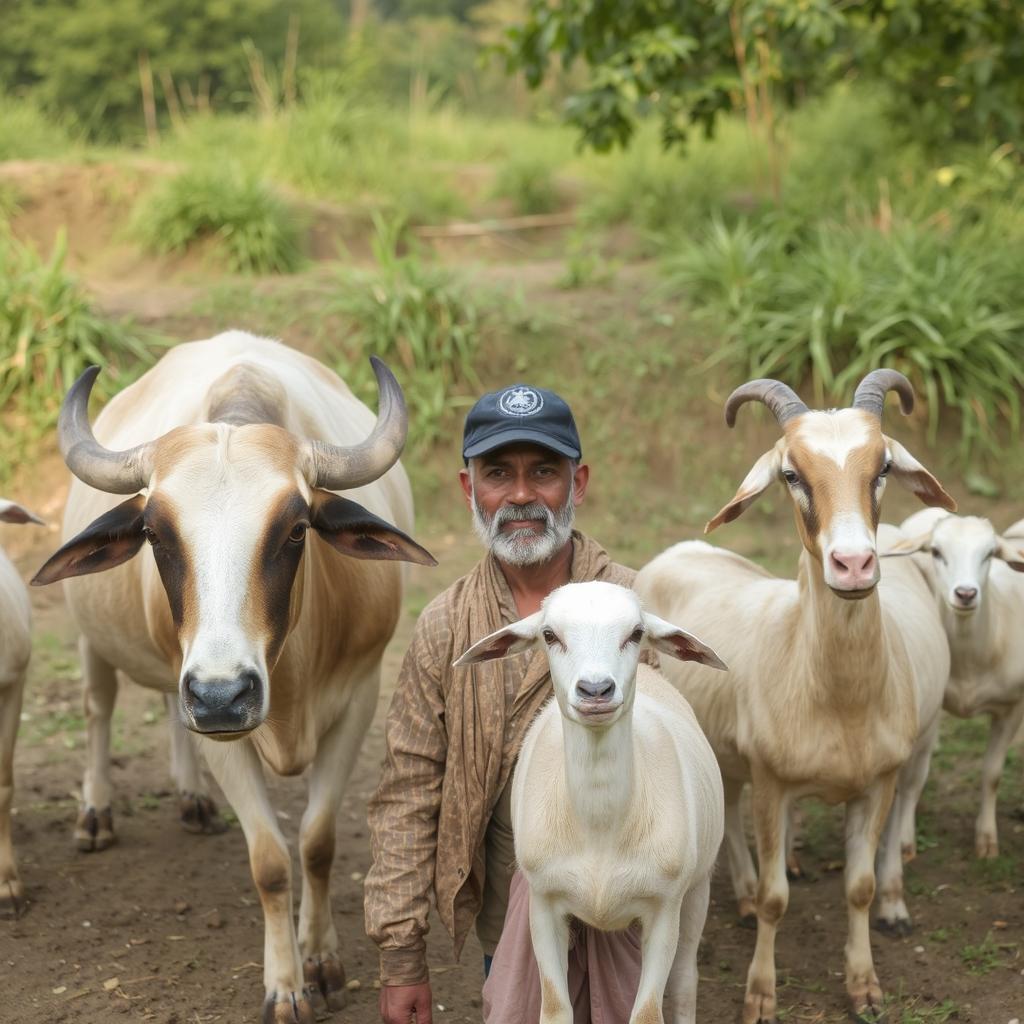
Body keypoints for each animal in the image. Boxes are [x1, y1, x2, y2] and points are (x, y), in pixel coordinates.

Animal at [456, 581, 729, 1024]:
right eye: (550, 635)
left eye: (636, 632)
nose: (596, 690)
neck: (600, 828)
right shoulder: (544, 904)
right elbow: (554, 1006)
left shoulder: (663, 908)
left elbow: (648, 1012)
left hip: (698, 889)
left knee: (685, 983)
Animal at [634, 370, 954, 1024]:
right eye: (791, 474)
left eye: (883, 466)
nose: (853, 564)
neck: (838, 702)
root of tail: (682, 550)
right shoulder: (773, 781)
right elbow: (778, 899)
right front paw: (760, 995)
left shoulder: (878, 783)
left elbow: (859, 888)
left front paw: (864, 987)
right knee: (732, 824)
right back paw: (745, 896)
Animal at [888, 509, 1024, 856]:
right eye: (936, 552)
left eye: (990, 553)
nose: (965, 594)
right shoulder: (933, 706)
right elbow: (912, 778)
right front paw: (905, 839)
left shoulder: (1012, 708)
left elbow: (992, 774)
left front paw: (986, 840)